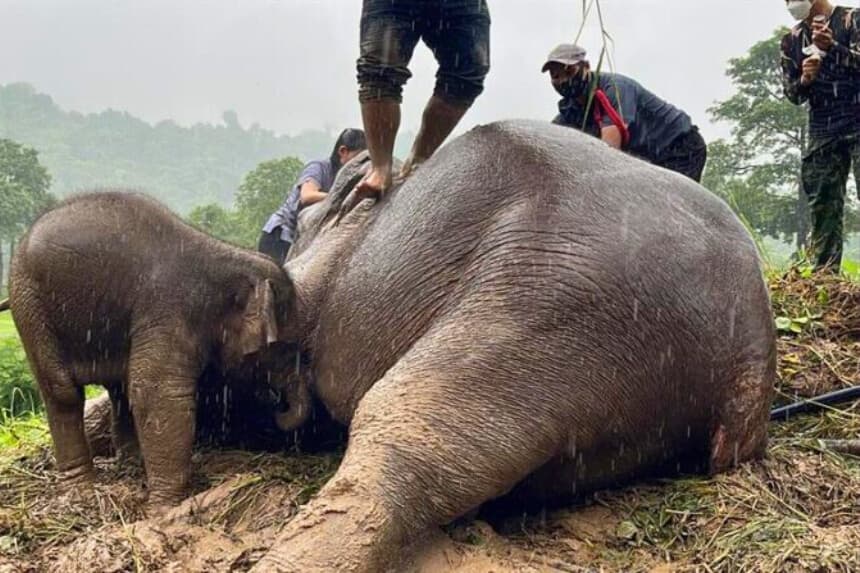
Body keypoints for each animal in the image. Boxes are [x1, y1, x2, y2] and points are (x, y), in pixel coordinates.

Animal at [7, 192, 311, 506]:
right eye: (285, 348)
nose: (278, 410)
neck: (225, 254)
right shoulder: (170, 311)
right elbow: (158, 392)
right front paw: (166, 506)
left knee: (119, 389)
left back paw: (132, 464)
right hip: (30, 305)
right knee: (63, 392)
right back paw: (82, 487)